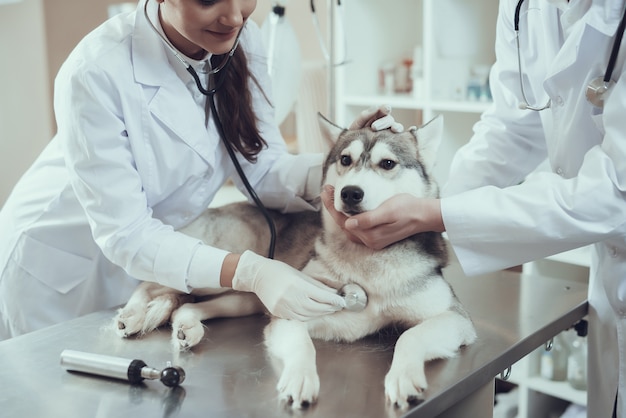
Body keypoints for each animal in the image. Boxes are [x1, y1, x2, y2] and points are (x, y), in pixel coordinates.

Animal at [113, 114, 472, 408]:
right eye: (345, 159)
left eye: (387, 164)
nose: (350, 193)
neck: (367, 258)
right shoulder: (293, 310)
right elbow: (303, 345)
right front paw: (300, 378)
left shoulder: (454, 319)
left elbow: (411, 336)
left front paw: (404, 377)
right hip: (217, 268)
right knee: (152, 282)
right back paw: (132, 314)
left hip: (247, 299)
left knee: (186, 305)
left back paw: (188, 326)